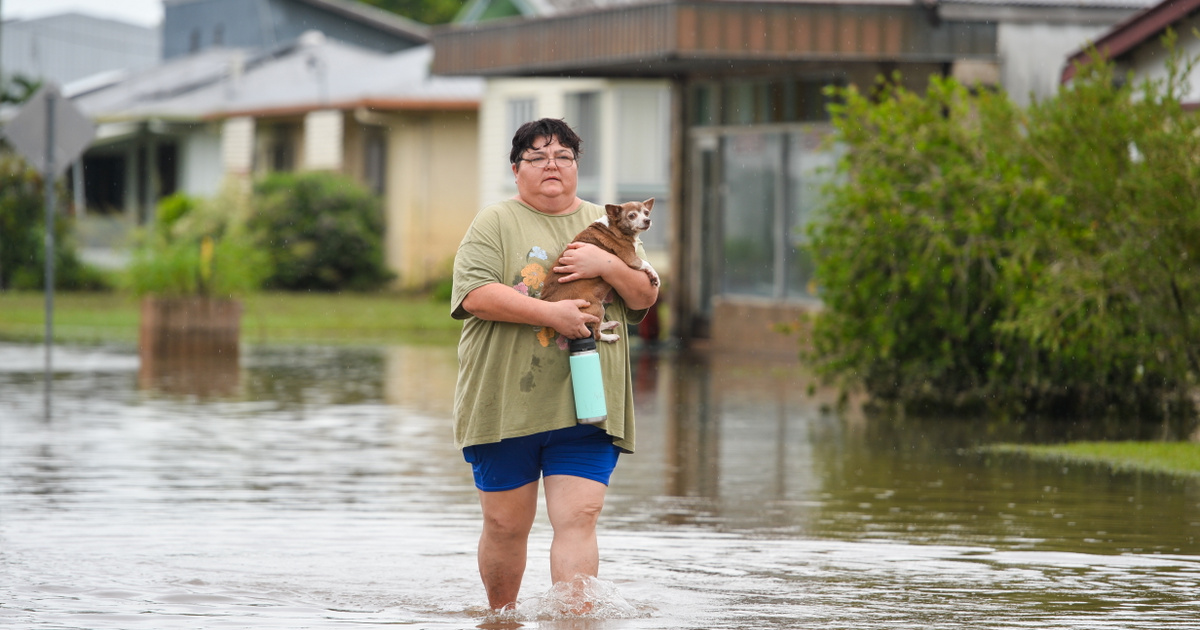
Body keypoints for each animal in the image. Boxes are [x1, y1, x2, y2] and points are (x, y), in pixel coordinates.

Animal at [542, 198, 662, 340]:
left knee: (595, 325)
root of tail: (550, 303)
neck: (612, 226)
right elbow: (646, 264)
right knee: (596, 334)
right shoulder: (631, 258)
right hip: (598, 307)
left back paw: (609, 324)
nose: (647, 220)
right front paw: (655, 277)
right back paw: (610, 337)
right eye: (632, 215)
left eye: (646, 213)